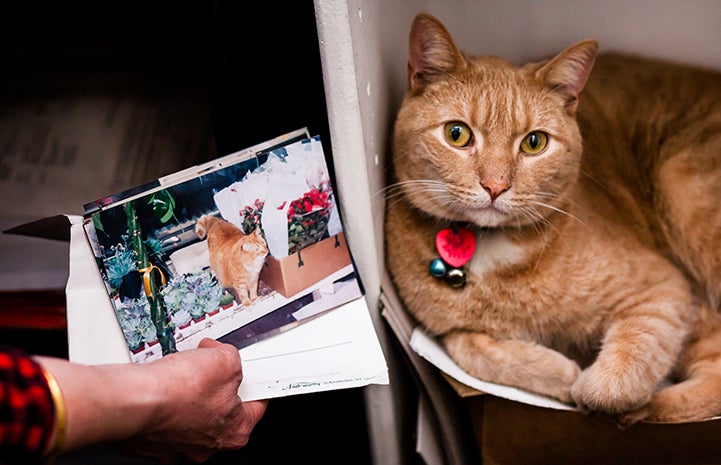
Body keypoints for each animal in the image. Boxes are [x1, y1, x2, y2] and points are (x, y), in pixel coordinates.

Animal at [386, 11, 720, 424]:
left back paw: (646, 408)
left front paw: (590, 390)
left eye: (534, 143)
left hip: (683, 183)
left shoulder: (663, 287)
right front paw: (561, 372)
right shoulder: (445, 329)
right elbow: (469, 347)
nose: (495, 186)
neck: (491, 253)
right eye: (457, 134)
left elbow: (630, 359)